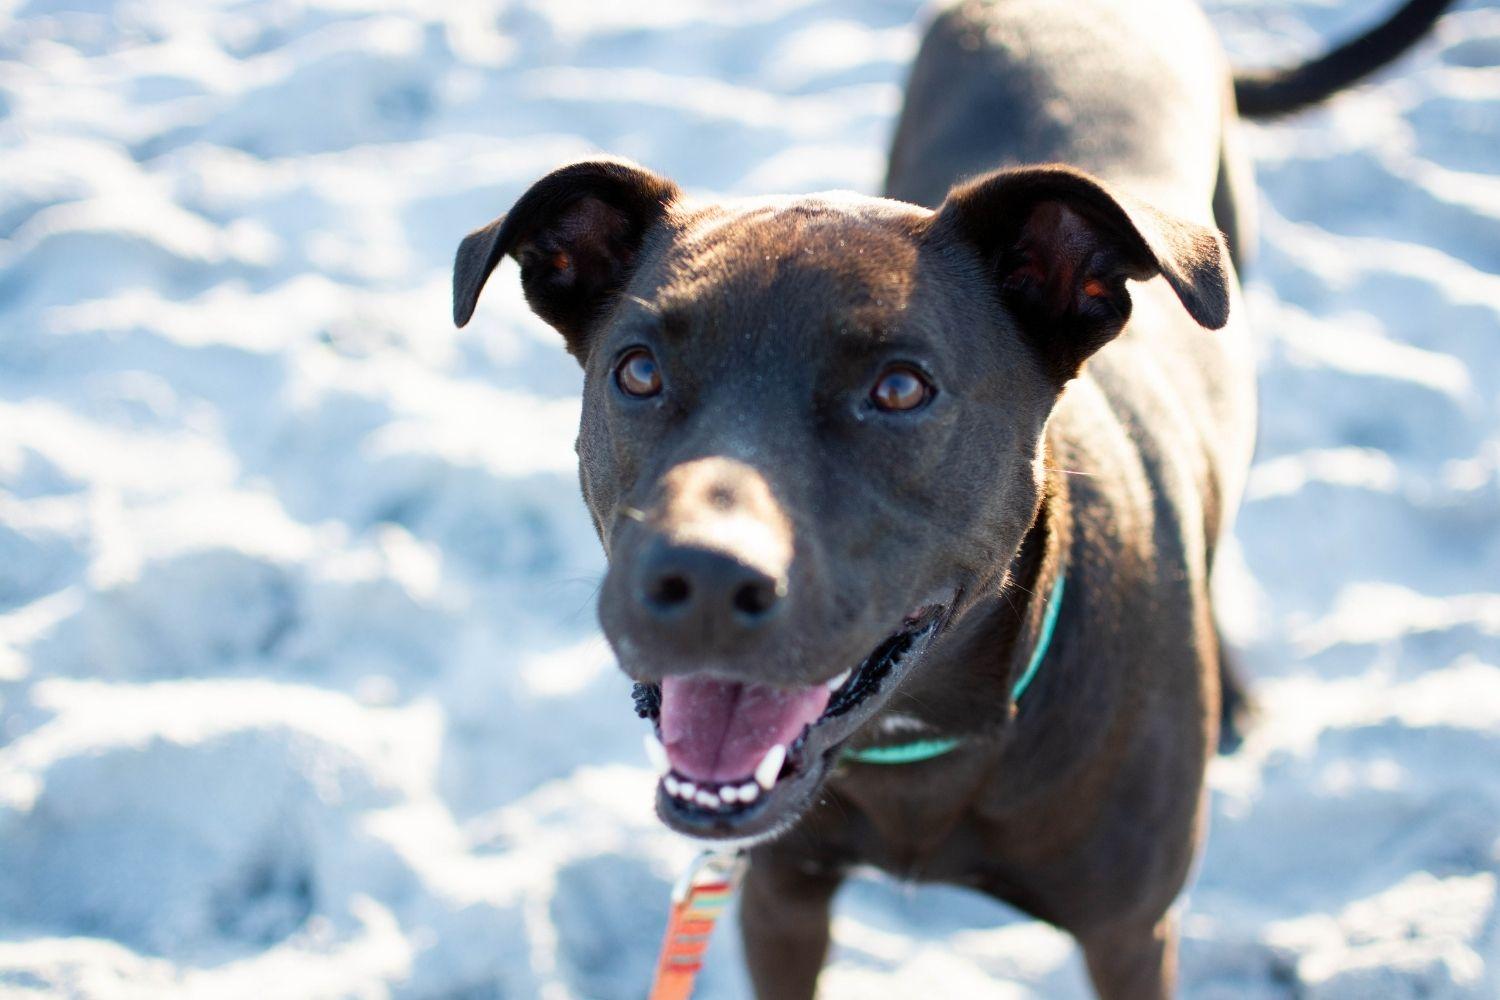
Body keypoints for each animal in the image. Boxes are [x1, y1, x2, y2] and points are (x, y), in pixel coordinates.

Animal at [453, 0, 1452, 995]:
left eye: (900, 388)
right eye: (638, 371)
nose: (700, 580)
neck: (921, 742)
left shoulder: (1132, 934)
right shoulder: (779, 900)